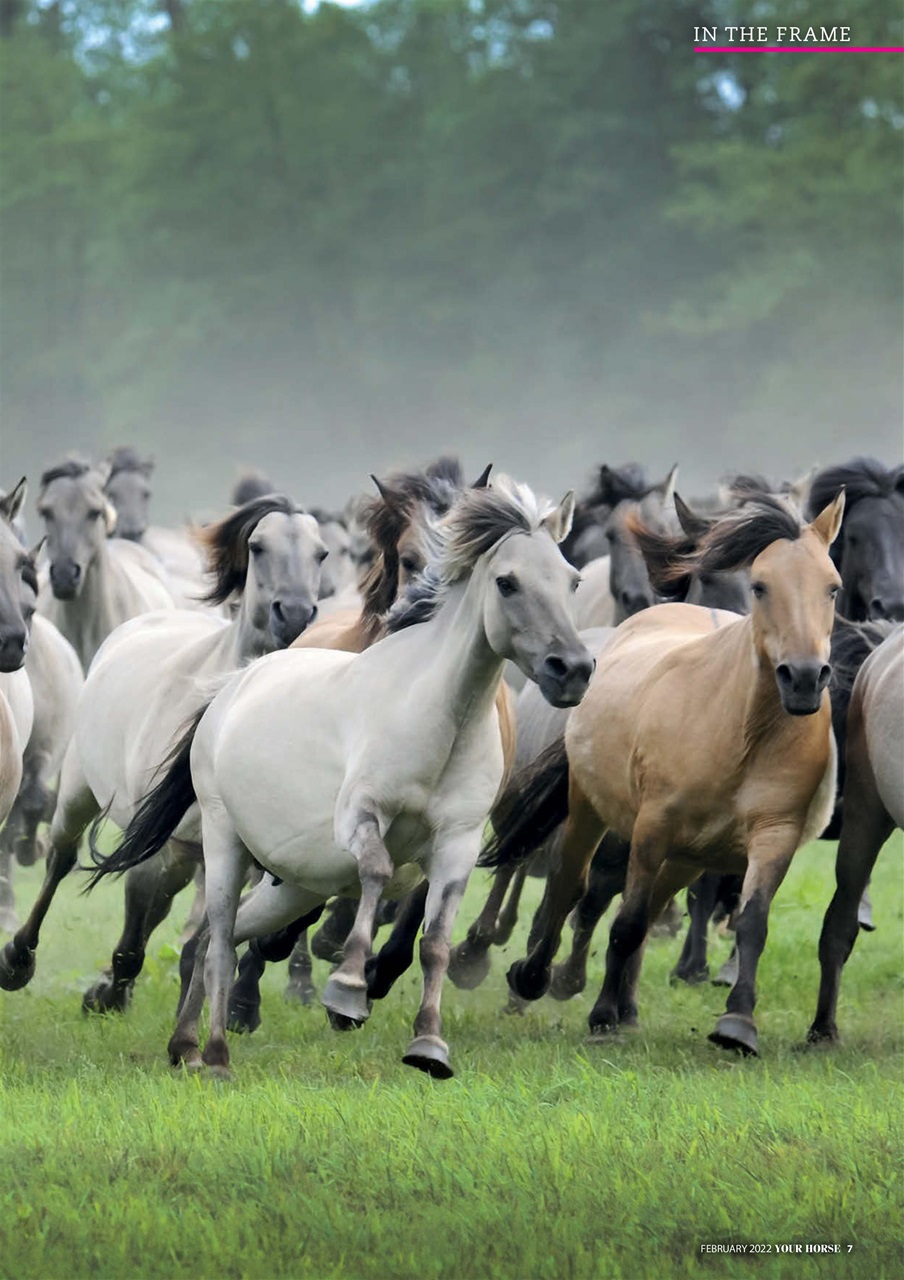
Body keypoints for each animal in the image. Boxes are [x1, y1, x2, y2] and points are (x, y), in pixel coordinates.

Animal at [0, 495, 326, 999]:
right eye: (257, 547)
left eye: (321, 554)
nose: (292, 614)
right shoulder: (159, 838)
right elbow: (135, 930)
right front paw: (109, 993)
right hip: (77, 791)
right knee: (61, 859)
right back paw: (19, 959)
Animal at [89, 478, 593, 1079]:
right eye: (507, 582)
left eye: (573, 579)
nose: (573, 670)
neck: (437, 717)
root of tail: (234, 684)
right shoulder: (361, 816)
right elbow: (375, 871)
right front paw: (348, 990)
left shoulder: (458, 844)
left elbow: (435, 942)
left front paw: (429, 1046)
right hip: (224, 842)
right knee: (218, 942)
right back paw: (215, 1056)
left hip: (293, 886)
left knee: (214, 940)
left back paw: (184, 1046)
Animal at [484, 493, 844, 1056]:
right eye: (762, 585)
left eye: (832, 587)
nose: (805, 678)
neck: (742, 732)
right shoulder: (651, 828)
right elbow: (626, 922)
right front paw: (599, 1015)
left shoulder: (774, 834)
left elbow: (751, 924)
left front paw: (737, 1024)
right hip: (591, 809)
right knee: (569, 886)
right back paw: (535, 977)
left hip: (689, 857)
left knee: (646, 905)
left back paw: (619, 1003)